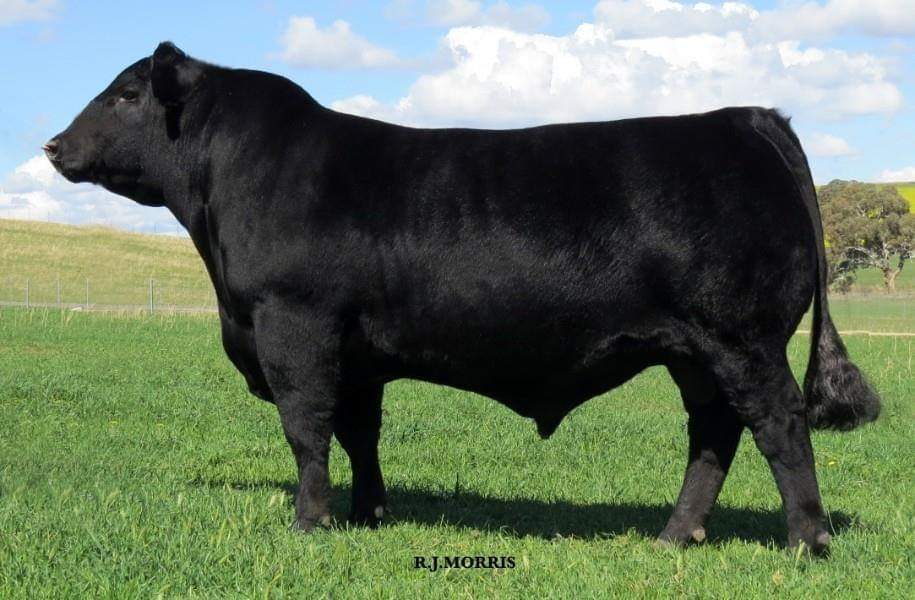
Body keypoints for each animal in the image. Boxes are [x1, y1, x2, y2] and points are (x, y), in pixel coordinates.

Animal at [46, 42, 880, 554]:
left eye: (125, 94)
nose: (53, 144)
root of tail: (742, 117)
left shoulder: (294, 324)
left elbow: (306, 430)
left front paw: (311, 520)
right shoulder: (357, 351)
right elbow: (359, 433)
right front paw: (369, 515)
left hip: (741, 337)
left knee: (778, 425)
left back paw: (805, 540)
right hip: (693, 351)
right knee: (713, 433)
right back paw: (676, 535)